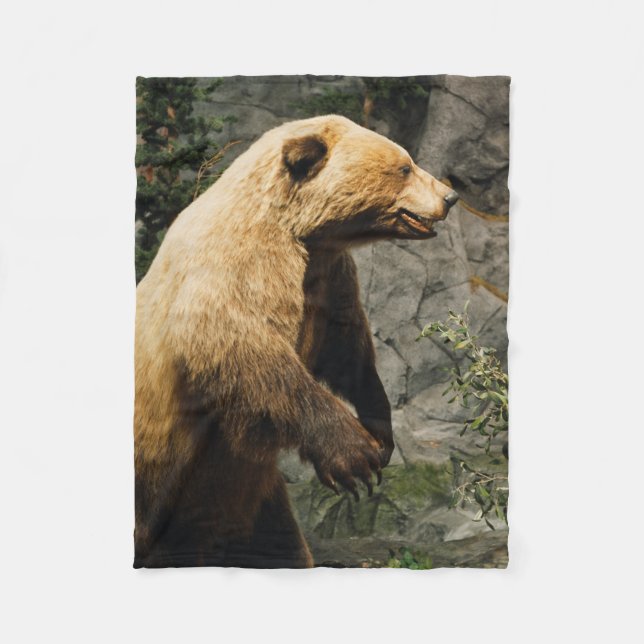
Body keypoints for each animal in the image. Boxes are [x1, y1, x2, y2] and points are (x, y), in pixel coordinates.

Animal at [134, 114, 458, 568]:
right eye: (404, 167)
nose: (450, 196)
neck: (300, 232)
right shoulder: (237, 268)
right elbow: (247, 352)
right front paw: (354, 457)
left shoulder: (328, 275)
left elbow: (346, 347)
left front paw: (380, 429)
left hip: (248, 503)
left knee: (276, 545)